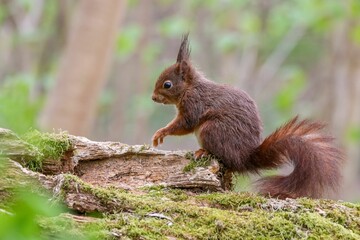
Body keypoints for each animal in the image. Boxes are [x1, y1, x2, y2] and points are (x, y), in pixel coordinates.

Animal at [150, 34, 344, 199]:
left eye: (167, 84)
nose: (153, 97)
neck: (190, 88)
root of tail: (244, 157)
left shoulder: (194, 104)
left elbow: (185, 124)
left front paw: (160, 133)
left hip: (210, 130)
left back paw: (204, 151)